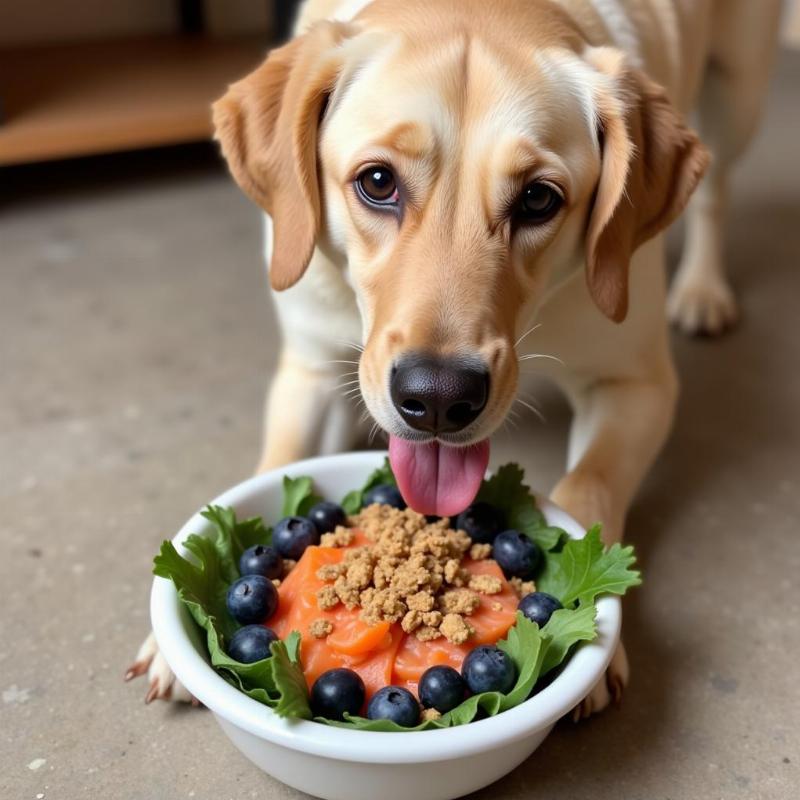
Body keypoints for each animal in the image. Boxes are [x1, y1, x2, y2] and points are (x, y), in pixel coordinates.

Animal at [130, 0, 780, 716]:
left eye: (539, 199)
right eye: (377, 182)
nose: (439, 397)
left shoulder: (636, 383)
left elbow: (586, 485)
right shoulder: (309, 366)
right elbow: (278, 461)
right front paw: (174, 635)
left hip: (739, 91)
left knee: (716, 190)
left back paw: (703, 288)